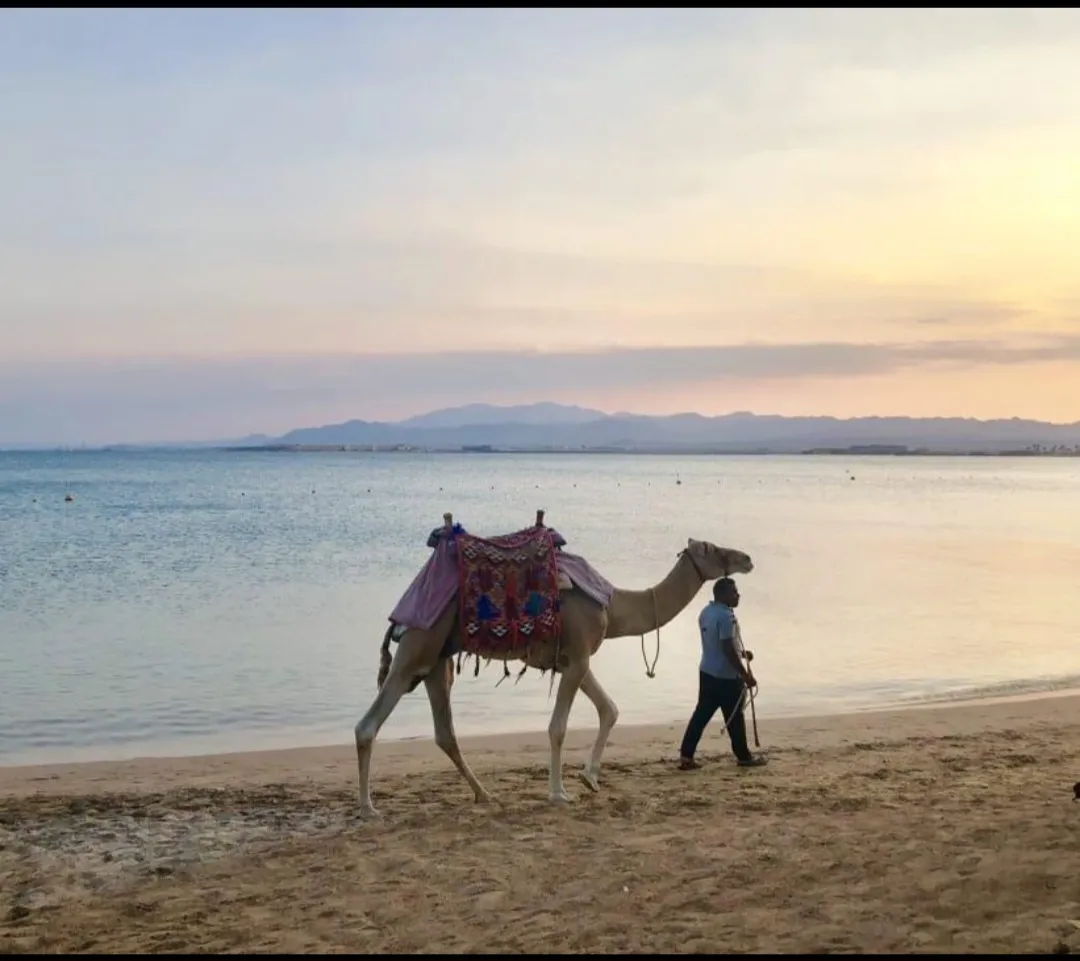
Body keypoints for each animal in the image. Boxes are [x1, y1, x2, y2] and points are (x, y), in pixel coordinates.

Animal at [353, 519, 753, 818]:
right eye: (713, 549)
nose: (747, 558)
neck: (613, 605)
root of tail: (405, 605)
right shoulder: (578, 656)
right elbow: (558, 727)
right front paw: (559, 793)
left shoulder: (574, 660)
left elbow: (609, 709)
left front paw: (590, 778)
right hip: (419, 645)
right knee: (368, 724)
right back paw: (368, 808)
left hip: (437, 660)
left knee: (444, 732)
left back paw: (484, 794)